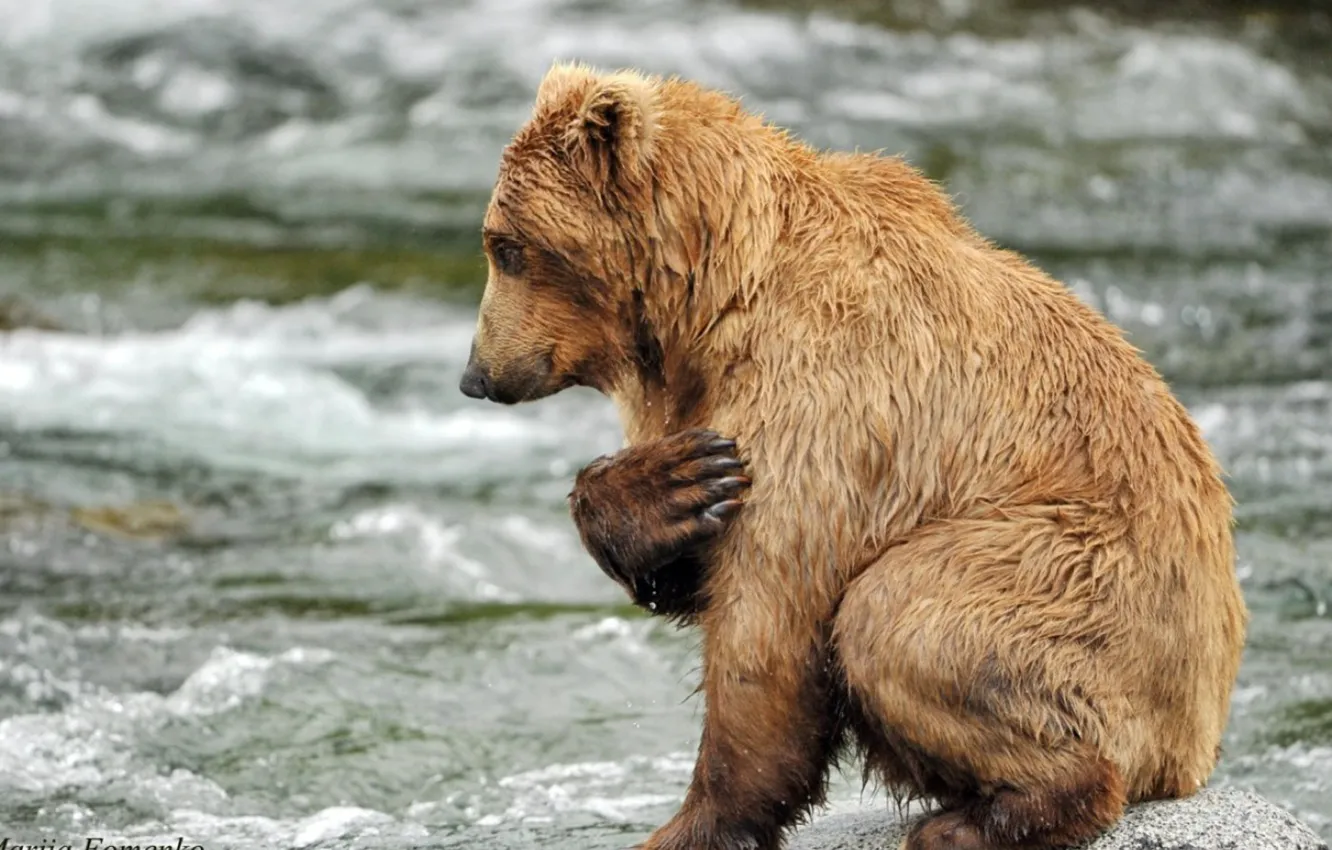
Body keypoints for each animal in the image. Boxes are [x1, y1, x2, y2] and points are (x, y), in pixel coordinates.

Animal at [458, 61, 1249, 850]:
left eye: (507, 246)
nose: (477, 375)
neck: (712, 302)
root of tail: (1194, 746)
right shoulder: (709, 401)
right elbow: (696, 559)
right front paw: (672, 486)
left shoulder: (825, 405)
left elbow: (770, 621)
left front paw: (694, 823)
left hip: (1082, 582)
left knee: (900, 614)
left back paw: (975, 819)